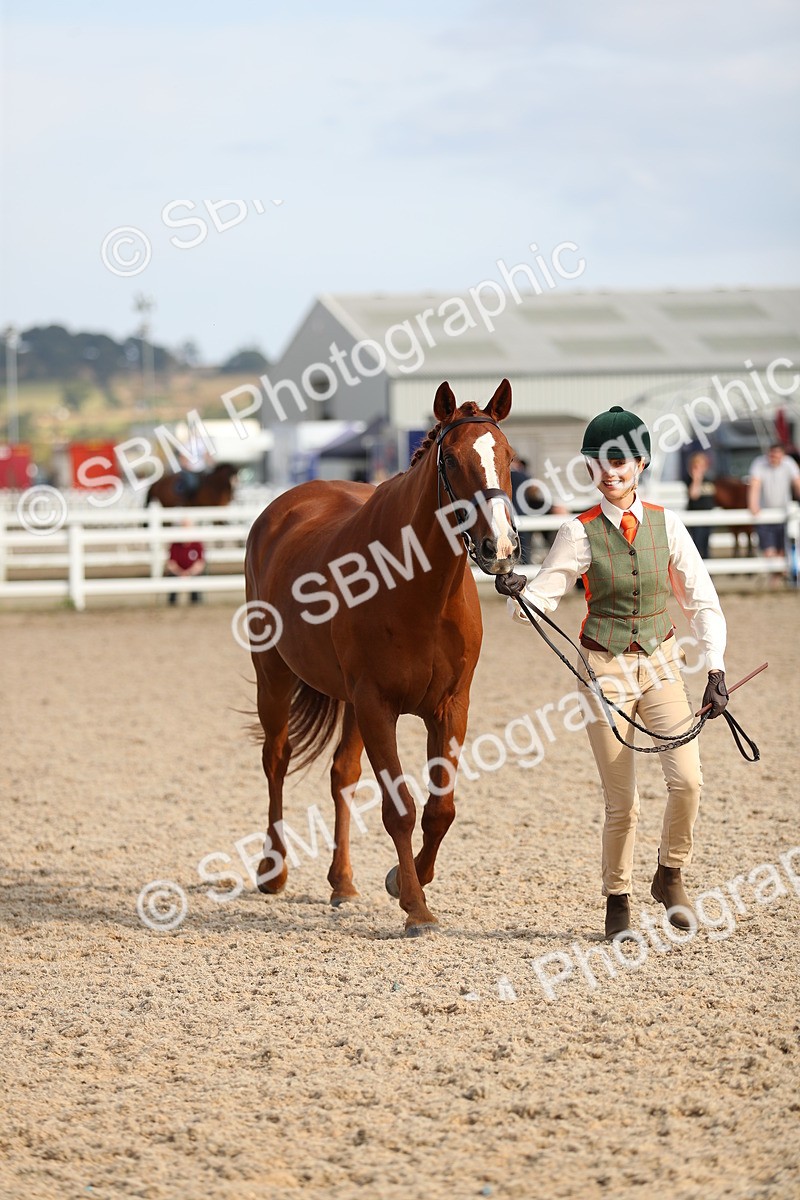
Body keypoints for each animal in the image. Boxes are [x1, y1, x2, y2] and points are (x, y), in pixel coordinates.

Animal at [244, 379, 520, 935]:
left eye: (508, 456)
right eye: (451, 460)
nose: (499, 546)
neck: (415, 588)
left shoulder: (450, 707)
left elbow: (440, 809)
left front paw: (404, 878)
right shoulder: (377, 707)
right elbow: (401, 809)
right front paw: (416, 907)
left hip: (347, 702)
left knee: (342, 776)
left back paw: (342, 882)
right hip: (274, 676)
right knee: (276, 761)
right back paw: (273, 871)